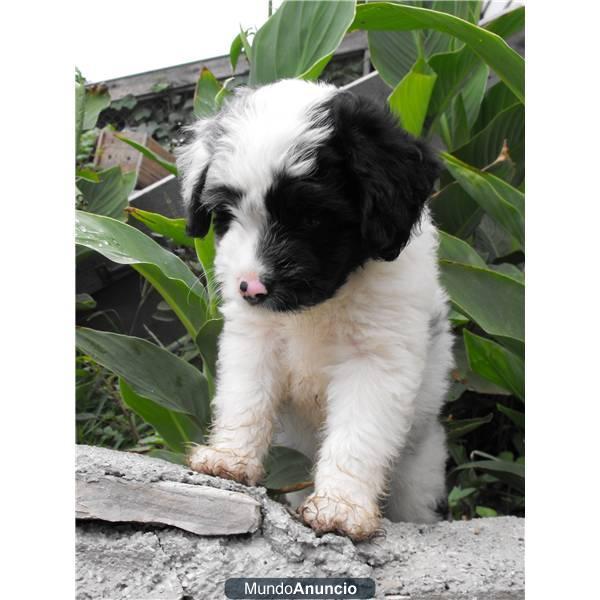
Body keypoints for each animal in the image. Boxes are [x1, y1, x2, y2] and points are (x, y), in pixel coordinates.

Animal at [176, 77, 452, 540]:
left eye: (309, 218)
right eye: (227, 215)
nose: (250, 287)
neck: (317, 307)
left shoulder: (376, 359)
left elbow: (358, 431)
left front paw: (341, 507)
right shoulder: (253, 338)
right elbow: (245, 397)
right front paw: (229, 458)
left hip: (420, 471)